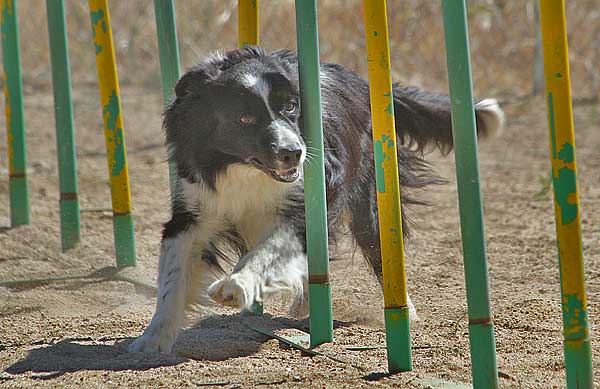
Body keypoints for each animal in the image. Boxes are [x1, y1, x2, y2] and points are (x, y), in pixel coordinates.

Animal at [129, 45, 504, 352]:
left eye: (292, 106)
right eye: (244, 118)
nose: (293, 153)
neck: (244, 169)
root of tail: (362, 83)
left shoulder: (310, 198)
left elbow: (268, 249)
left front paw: (236, 285)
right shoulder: (194, 206)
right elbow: (174, 272)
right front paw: (152, 339)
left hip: (369, 199)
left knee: (380, 250)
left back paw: (403, 313)